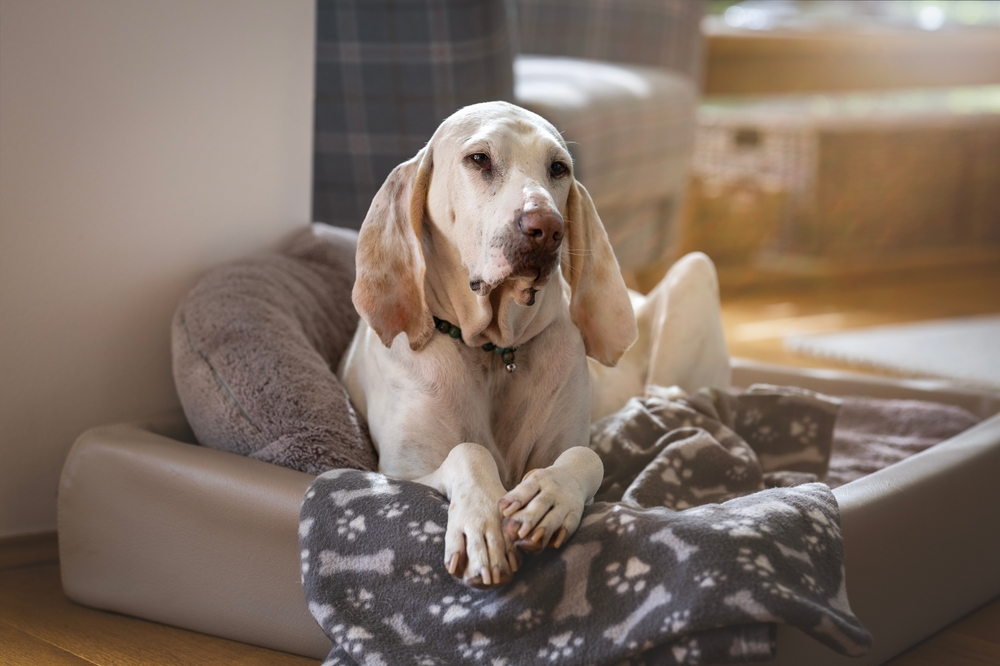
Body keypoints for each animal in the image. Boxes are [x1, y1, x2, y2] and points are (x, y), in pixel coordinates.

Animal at [338, 100, 728, 588]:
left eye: (558, 168)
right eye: (479, 159)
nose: (546, 227)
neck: (493, 351)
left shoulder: (570, 440)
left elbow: (586, 455)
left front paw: (551, 496)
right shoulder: (399, 473)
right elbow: (468, 451)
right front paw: (482, 524)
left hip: (695, 270)